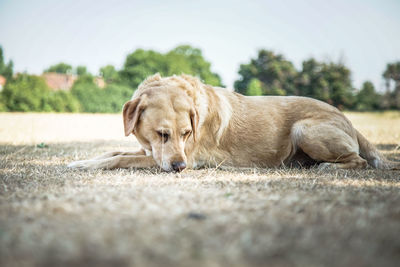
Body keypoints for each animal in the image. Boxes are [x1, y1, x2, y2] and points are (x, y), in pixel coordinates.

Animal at [67, 74, 398, 173]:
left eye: (187, 133)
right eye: (162, 133)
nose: (180, 168)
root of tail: (348, 119)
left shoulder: (184, 157)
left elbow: (120, 158)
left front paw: (87, 165)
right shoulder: (152, 151)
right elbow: (113, 152)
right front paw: (80, 161)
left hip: (304, 129)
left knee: (359, 160)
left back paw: (327, 166)